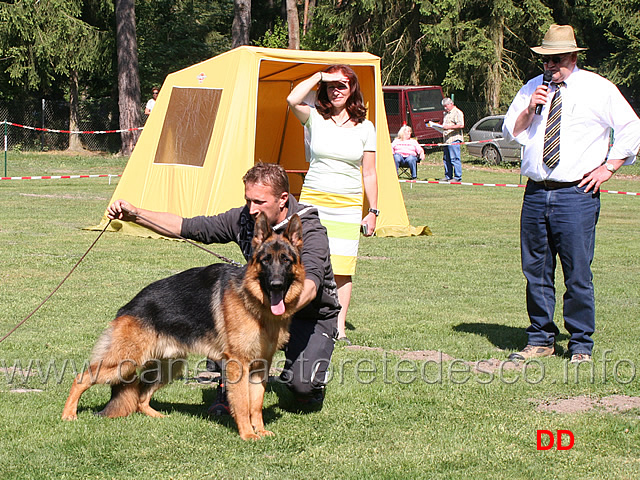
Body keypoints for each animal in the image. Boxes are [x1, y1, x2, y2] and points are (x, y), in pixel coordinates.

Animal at [62, 213, 304, 438]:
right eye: (265, 260)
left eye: (285, 260)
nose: (276, 284)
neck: (253, 301)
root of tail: (128, 307)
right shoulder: (238, 365)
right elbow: (243, 404)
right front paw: (247, 434)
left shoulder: (260, 366)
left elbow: (256, 404)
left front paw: (260, 431)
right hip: (123, 362)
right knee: (81, 378)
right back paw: (68, 414)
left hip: (169, 366)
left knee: (141, 395)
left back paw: (157, 416)